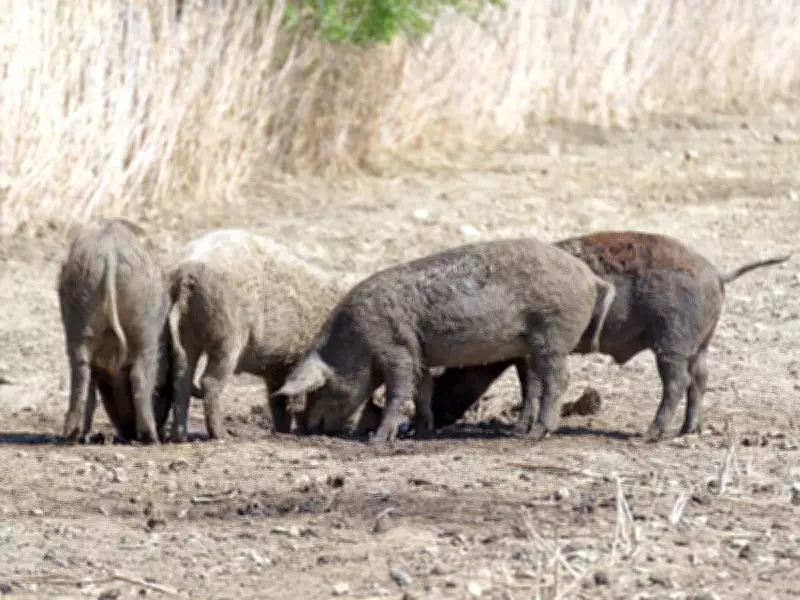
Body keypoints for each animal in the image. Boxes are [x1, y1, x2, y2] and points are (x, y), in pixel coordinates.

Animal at [57, 218, 174, 444]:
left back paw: (75, 437)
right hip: (144, 325)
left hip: (80, 311)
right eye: (162, 390)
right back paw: (151, 439)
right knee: (140, 374)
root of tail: (109, 252)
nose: (126, 432)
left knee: (81, 373)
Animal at [166, 229, 357, 442]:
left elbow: (278, 400)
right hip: (229, 336)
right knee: (209, 382)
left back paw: (179, 437)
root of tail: (187, 271)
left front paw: (283, 432)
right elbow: (295, 399)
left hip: (186, 334)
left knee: (181, 377)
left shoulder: (278, 368)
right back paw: (224, 436)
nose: (346, 431)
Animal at [272, 237, 617, 443]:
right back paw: (518, 432)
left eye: (319, 389)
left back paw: (538, 434)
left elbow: (399, 391)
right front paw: (421, 432)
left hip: (553, 335)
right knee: (533, 383)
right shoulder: (420, 353)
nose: (304, 429)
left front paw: (377, 440)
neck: (355, 341)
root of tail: (590, 277)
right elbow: (422, 391)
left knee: (558, 380)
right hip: (532, 345)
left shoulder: (396, 349)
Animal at [426, 231, 791, 441]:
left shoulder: (530, 352)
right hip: (701, 343)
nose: (436, 420)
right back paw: (687, 432)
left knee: (676, 383)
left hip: (673, 340)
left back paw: (648, 436)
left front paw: (518, 432)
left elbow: (531, 386)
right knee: (701, 378)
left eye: (448, 378)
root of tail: (717, 273)